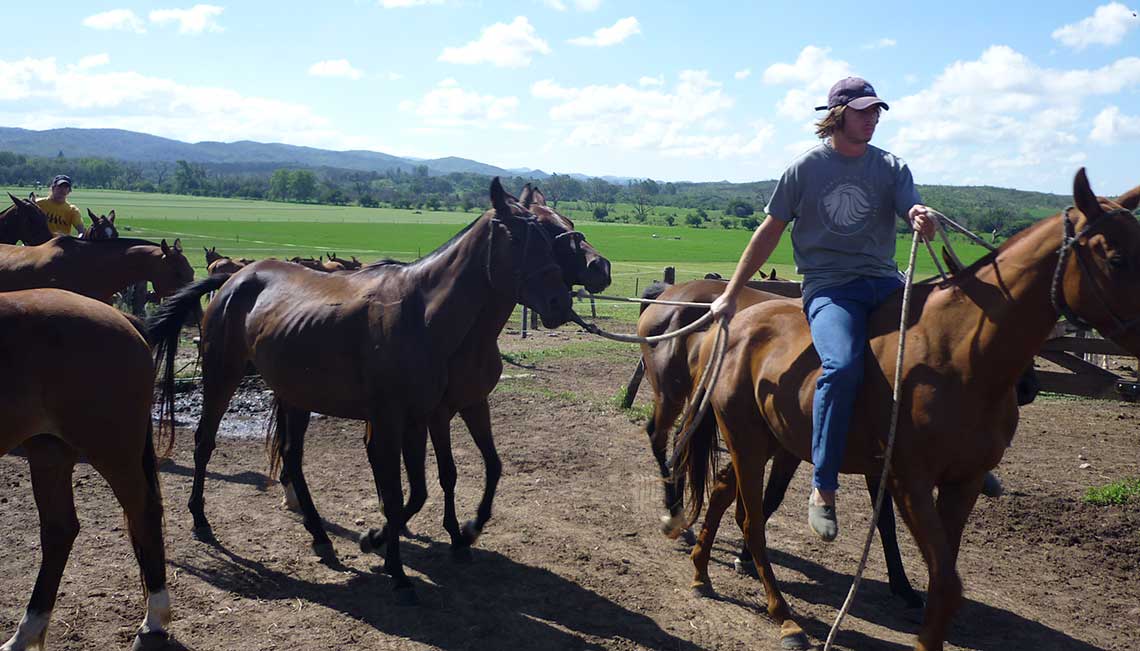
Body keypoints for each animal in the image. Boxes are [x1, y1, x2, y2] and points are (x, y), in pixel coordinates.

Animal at [0, 289, 173, 651]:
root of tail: (122, 318)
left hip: (111, 451)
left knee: (145, 513)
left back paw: (154, 621)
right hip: (48, 451)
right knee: (59, 530)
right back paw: (26, 632)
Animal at [150, 176, 574, 601]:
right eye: (519, 238)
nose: (560, 302)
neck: (422, 315)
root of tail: (236, 278)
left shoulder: (419, 417)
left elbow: (420, 489)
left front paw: (382, 540)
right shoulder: (392, 419)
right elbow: (398, 493)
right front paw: (397, 566)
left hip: (295, 395)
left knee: (291, 458)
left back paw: (320, 536)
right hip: (223, 376)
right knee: (205, 441)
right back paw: (200, 519)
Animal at [674, 169, 1140, 651]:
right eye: (1117, 257)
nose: (1029, 388)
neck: (957, 357)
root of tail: (731, 325)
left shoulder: (962, 482)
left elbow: (943, 577)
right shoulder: (907, 481)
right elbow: (943, 578)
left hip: (766, 441)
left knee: (723, 491)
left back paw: (701, 572)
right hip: (747, 442)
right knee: (751, 521)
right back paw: (783, 617)